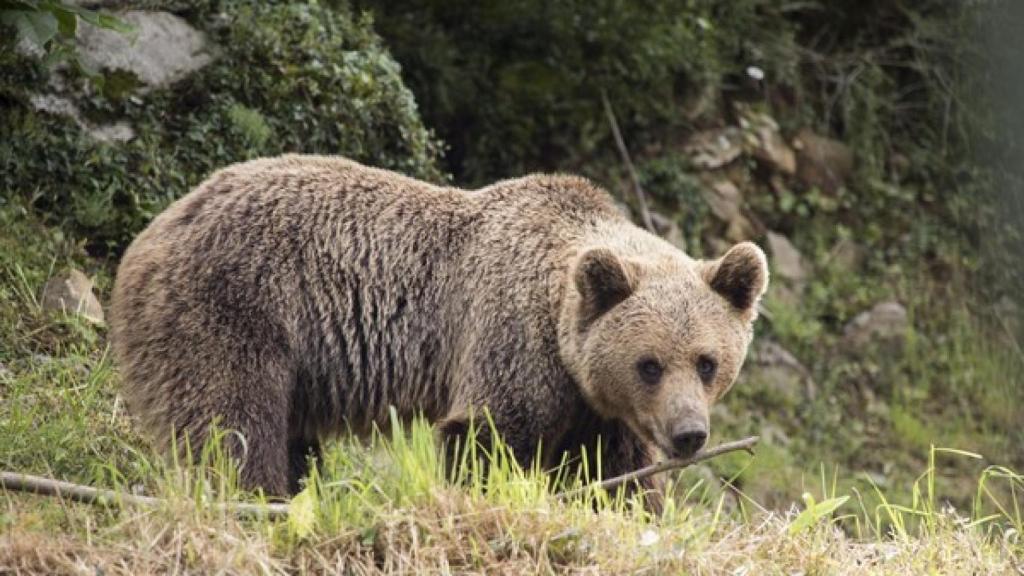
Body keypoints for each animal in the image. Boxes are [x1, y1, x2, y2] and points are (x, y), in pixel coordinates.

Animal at [110, 154, 768, 500]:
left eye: (707, 362)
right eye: (649, 363)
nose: (688, 434)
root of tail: (154, 230)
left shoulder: (599, 407)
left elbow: (615, 473)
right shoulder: (511, 338)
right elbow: (487, 435)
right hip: (235, 307)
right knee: (233, 424)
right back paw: (256, 497)